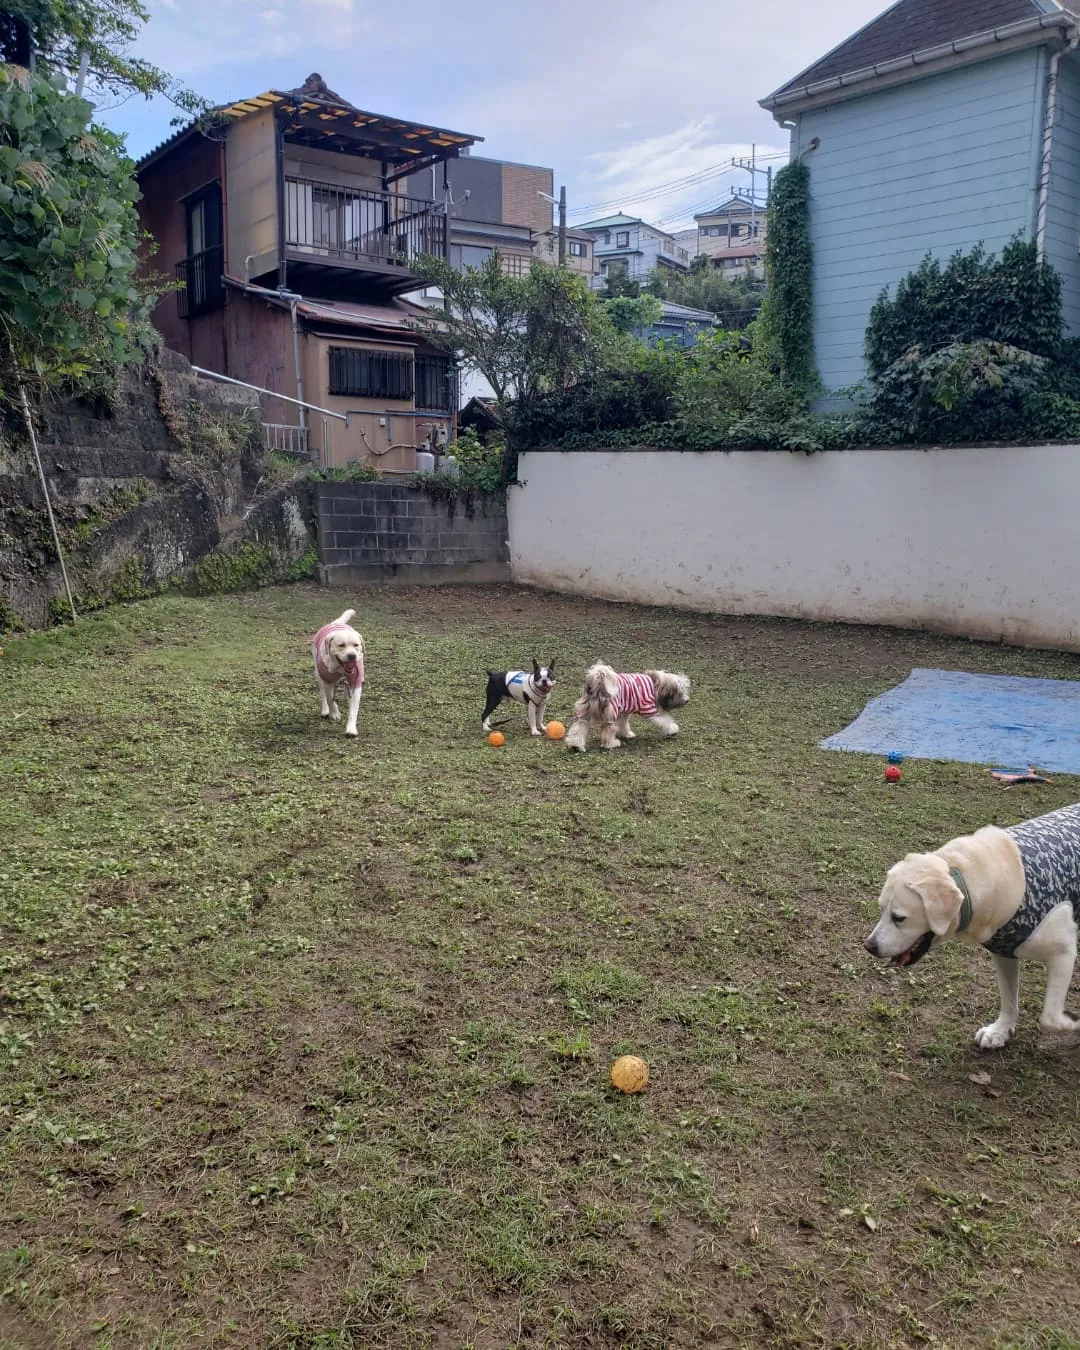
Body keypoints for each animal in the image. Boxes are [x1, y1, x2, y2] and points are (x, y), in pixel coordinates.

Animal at [864, 804, 1080, 1047]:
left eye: (898, 918)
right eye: (881, 909)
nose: (869, 946)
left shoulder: (1063, 953)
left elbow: (1049, 1018)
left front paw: (1075, 1022)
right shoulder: (1004, 953)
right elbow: (1008, 999)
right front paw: (1000, 1031)